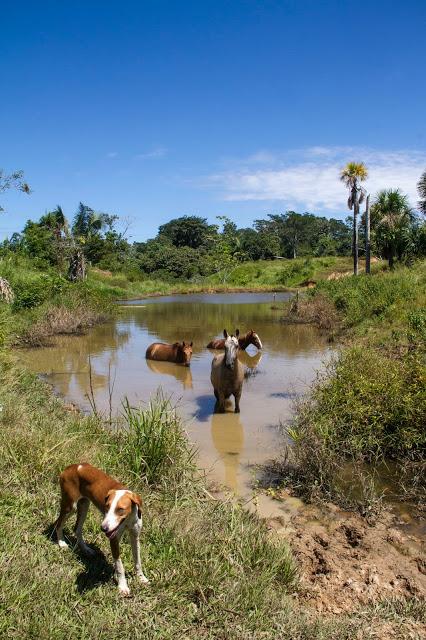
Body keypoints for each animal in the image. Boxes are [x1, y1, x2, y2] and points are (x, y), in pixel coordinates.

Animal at [55, 462, 149, 596]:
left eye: (120, 509)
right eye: (106, 507)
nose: (103, 528)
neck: (127, 521)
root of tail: (72, 467)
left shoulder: (135, 537)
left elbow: (138, 561)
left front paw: (141, 578)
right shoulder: (114, 540)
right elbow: (120, 566)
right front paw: (123, 586)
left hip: (84, 505)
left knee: (77, 528)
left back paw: (86, 550)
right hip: (70, 506)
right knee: (58, 524)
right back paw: (61, 543)